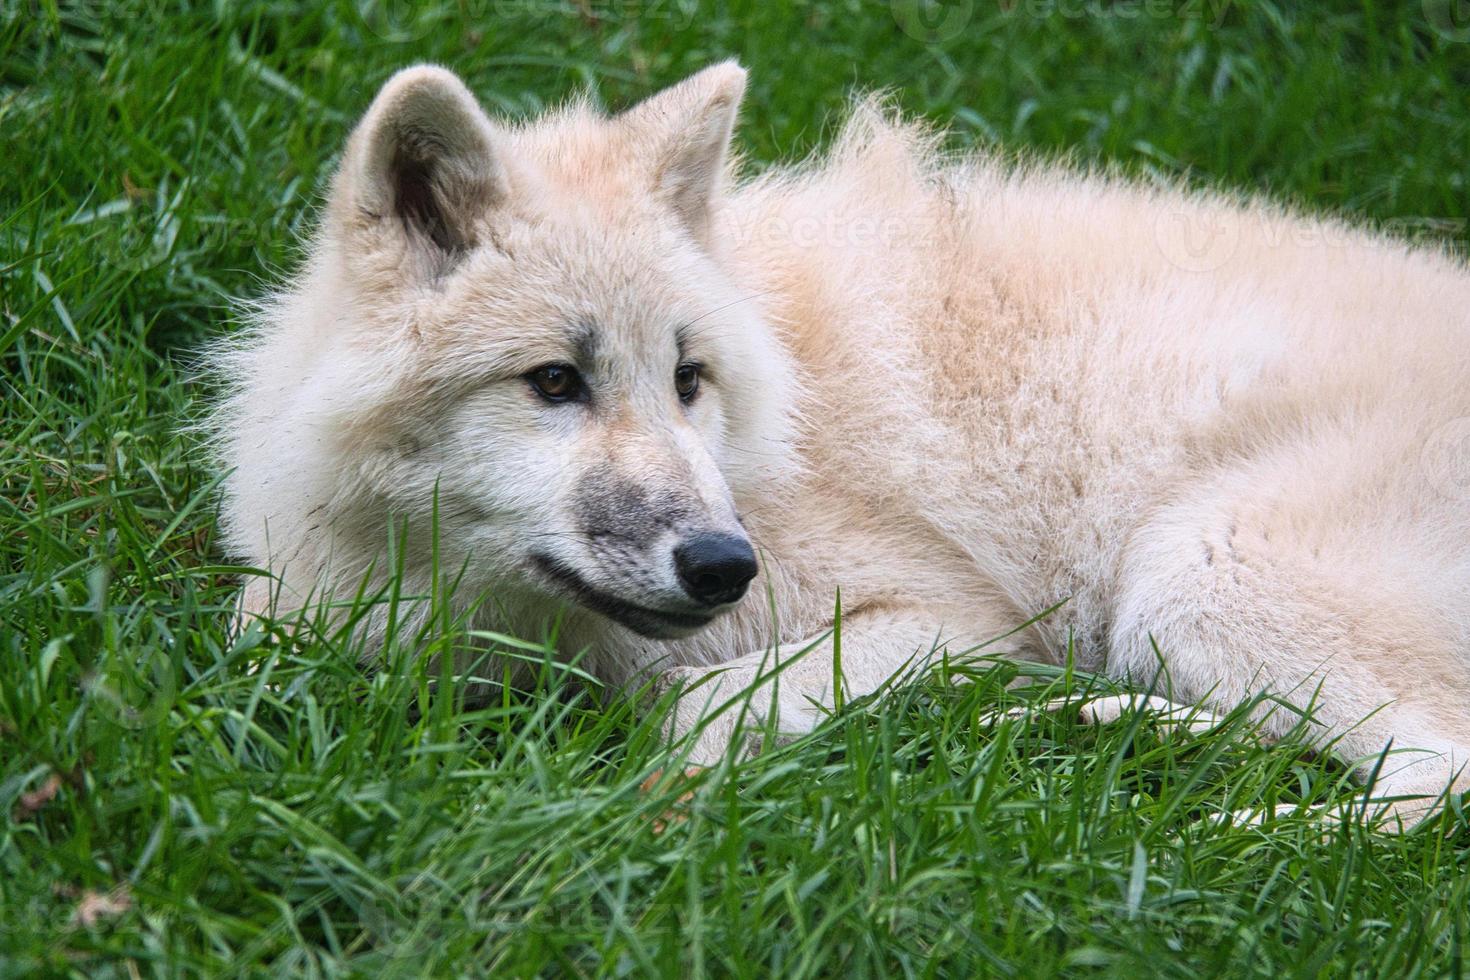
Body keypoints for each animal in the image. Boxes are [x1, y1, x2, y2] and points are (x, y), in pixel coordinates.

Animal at [213, 61, 1470, 828]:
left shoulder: (947, 613)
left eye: (688, 381)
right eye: (555, 382)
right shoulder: (296, 616)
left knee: (1437, 778)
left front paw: (661, 800)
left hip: (1195, 572)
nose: (725, 565)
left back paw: (1234, 825)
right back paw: (1081, 729)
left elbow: (697, 708)